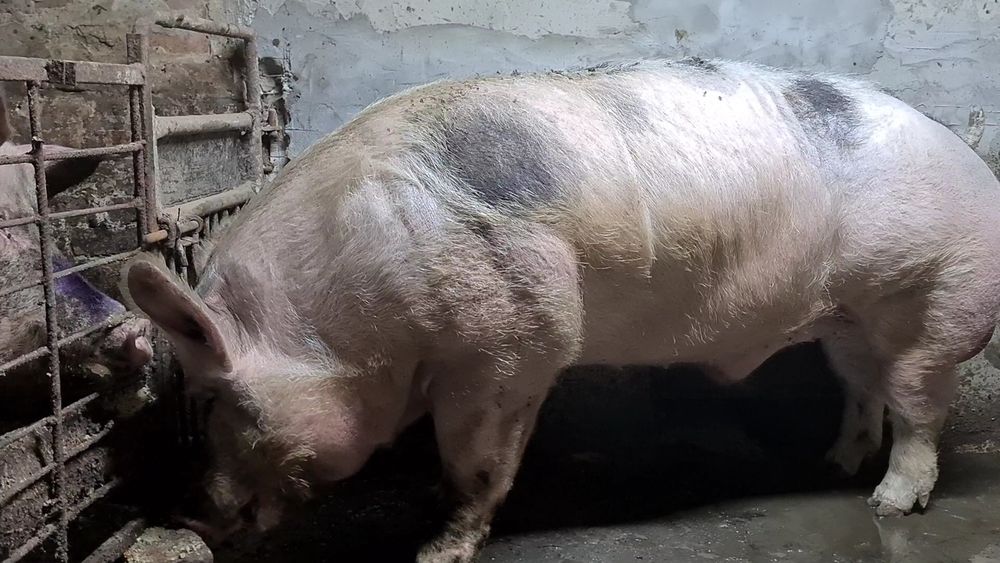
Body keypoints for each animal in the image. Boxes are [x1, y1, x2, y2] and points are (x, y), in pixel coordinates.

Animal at [123, 57, 1000, 562]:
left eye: (218, 399)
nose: (190, 514)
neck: (340, 319)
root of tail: (977, 168)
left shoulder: (513, 341)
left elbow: (474, 459)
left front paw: (434, 551)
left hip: (934, 298)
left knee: (919, 408)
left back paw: (888, 499)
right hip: (848, 317)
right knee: (863, 387)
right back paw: (833, 465)